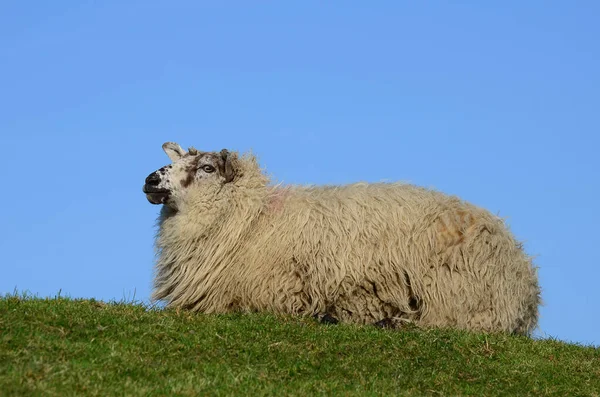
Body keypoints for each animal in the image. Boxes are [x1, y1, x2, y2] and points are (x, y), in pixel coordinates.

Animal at [143, 142, 540, 334]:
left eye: (207, 168)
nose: (150, 179)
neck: (252, 219)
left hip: (454, 293)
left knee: (450, 324)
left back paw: (386, 323)